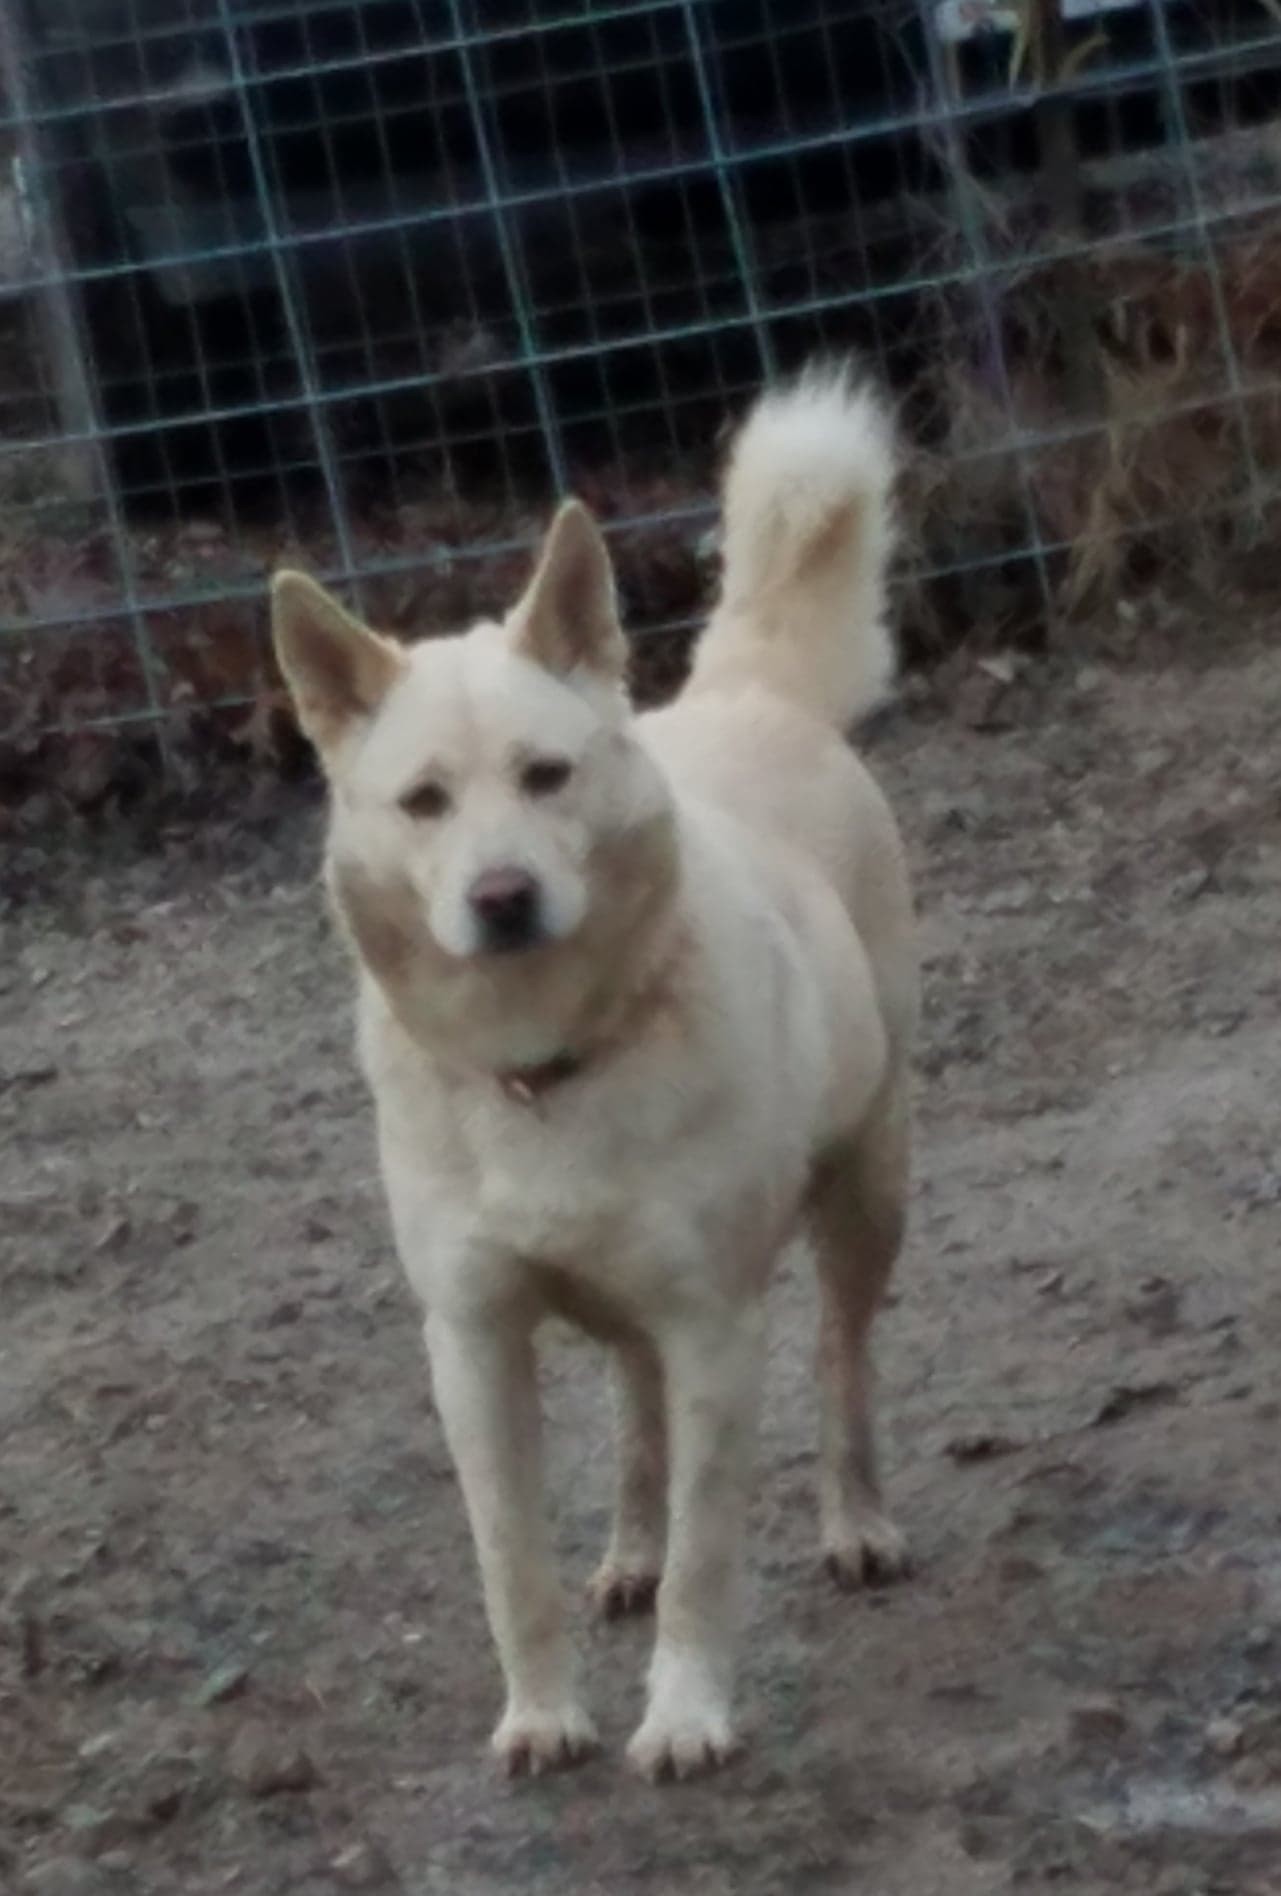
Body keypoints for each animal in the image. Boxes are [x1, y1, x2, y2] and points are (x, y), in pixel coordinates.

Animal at [272, 369, 909, 1774]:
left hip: (869, 1193)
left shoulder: (717, 1327)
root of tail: (748, 696)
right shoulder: (471, 1342)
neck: (542, 1064)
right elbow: (511, 1558)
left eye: (546, 776)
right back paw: (625, 1550)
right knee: (633, 1409)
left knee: (842, 1364)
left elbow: (710, 1561)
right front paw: (542, 1715)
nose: (504, 897)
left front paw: (683, 1717)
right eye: (424, 801)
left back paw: (855, 1524)